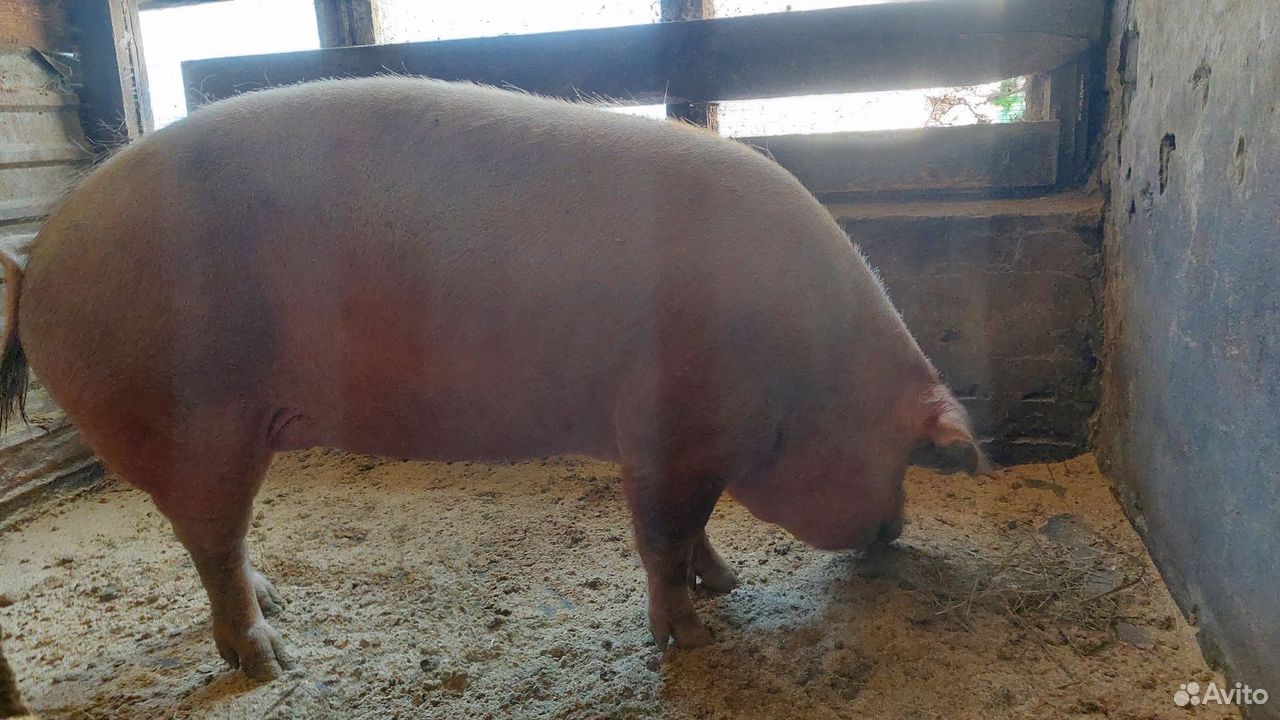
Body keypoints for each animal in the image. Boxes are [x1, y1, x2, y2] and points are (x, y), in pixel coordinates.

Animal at [0, 77, 986, 681]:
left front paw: (730, 585)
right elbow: (662, 538)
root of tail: (39, 255)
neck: (808, 367)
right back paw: (275, 661)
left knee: (222, 548)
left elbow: (694, 532)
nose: (897, 529)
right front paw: (693, 638)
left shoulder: (682, 445)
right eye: (905, 453)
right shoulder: (668, 428)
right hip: (195, 422)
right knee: (212, 545)